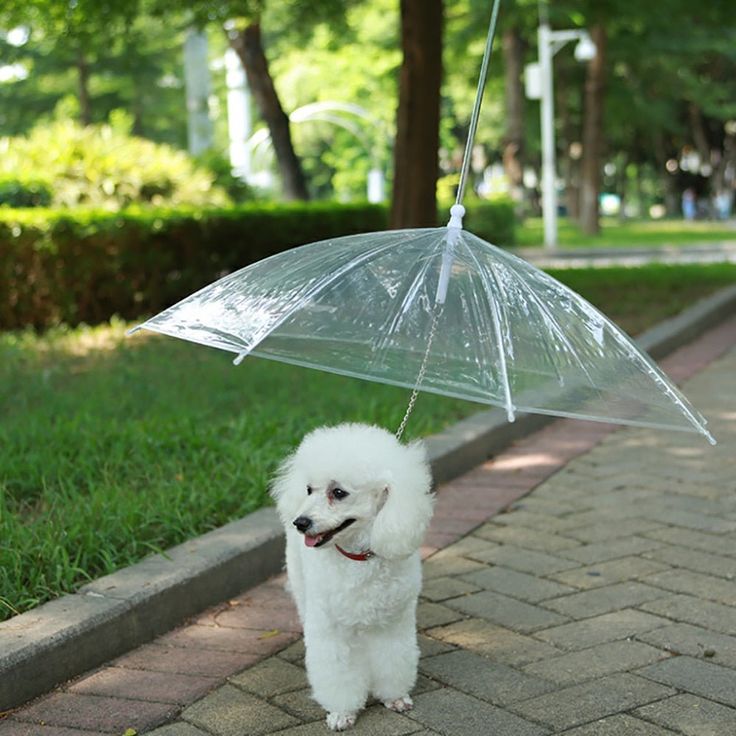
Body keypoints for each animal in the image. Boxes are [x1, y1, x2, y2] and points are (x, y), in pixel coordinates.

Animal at [270, 420, 432, 732]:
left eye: (338, 492)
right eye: (309, 489)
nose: (300, 523)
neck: (359, 558)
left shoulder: (393, 623)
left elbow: (394, 659)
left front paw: (395, 697)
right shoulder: (331, 629)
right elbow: (336, 673)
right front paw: (342, 713)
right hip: (301, 584)